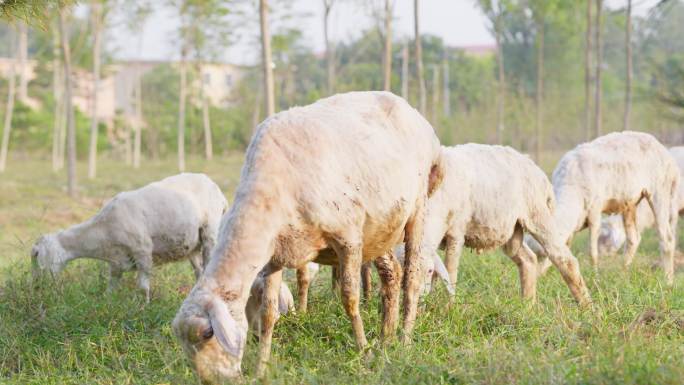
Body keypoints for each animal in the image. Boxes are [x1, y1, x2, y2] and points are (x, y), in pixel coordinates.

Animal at [30, 172, 227, 302]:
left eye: (37, 255)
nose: (37, 286)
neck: (102, 230)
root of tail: (217, 189)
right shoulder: (116, 262)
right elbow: (111, 287)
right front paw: (106, 304)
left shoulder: (143, 251)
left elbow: (142, 286)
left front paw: (143, 307)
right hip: (192, 245)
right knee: (199, 271)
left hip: (210, 232)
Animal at [171, 91, 444, 380]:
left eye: (207, 333)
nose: (211, 381)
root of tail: (419, 119)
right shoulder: (275, 255)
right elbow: (268, 313)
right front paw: (261, 368)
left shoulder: (348, 237)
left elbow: (350, 298)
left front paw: (363, 354)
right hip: (381, 228)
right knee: (392, 273)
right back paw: (385, 339)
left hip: (417, 208)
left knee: (412, 279)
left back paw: (403, 341)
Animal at [420, 142, 592, 302]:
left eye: (428, 271)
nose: (419, 298)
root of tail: (537, 170)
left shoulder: (456, 233)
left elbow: (450, 272)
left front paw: (447, 306)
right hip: (512, 229)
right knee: (528, 260)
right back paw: (527, 306)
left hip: (537, 214)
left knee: (565, 259)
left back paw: (586, 306)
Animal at [528, 130, 680, 284]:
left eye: (543, 255)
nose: (535, 278)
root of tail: (662, 148)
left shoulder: (595, 212)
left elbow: (592, 252)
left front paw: (595, 277)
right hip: (630, 203)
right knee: (634, 239)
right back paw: (622, 276)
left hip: (660, 191)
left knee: (667, 238)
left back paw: (668, 280)